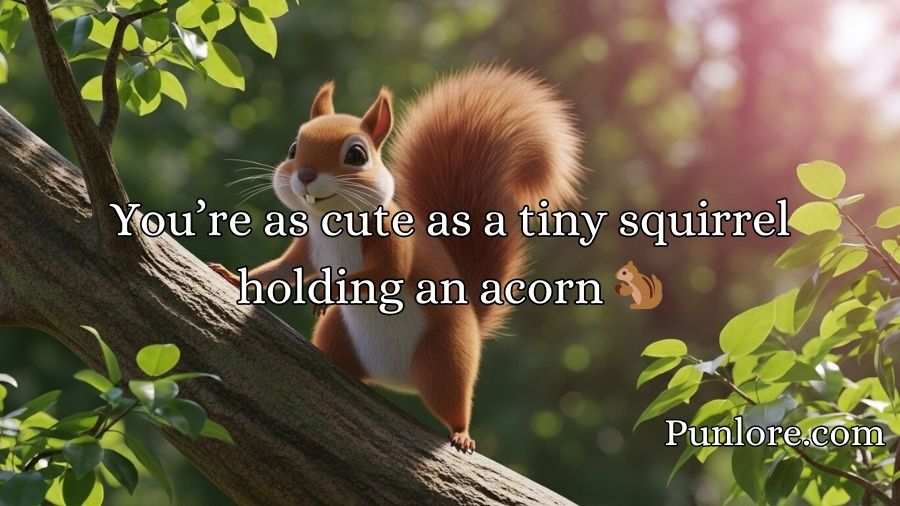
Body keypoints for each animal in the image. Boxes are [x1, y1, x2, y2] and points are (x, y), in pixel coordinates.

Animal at [209, 66, 583, 453]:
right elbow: (282, 270)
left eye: (356, 155)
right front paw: (233, 277)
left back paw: (461, 434)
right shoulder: (308, 246)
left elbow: (382, 275)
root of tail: (393, 377)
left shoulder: (392, 240)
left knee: (453, 402)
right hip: (337, 335)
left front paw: (326, 291)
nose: (306, 175)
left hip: (445, 358)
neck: (334, 220)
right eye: (293, 149)